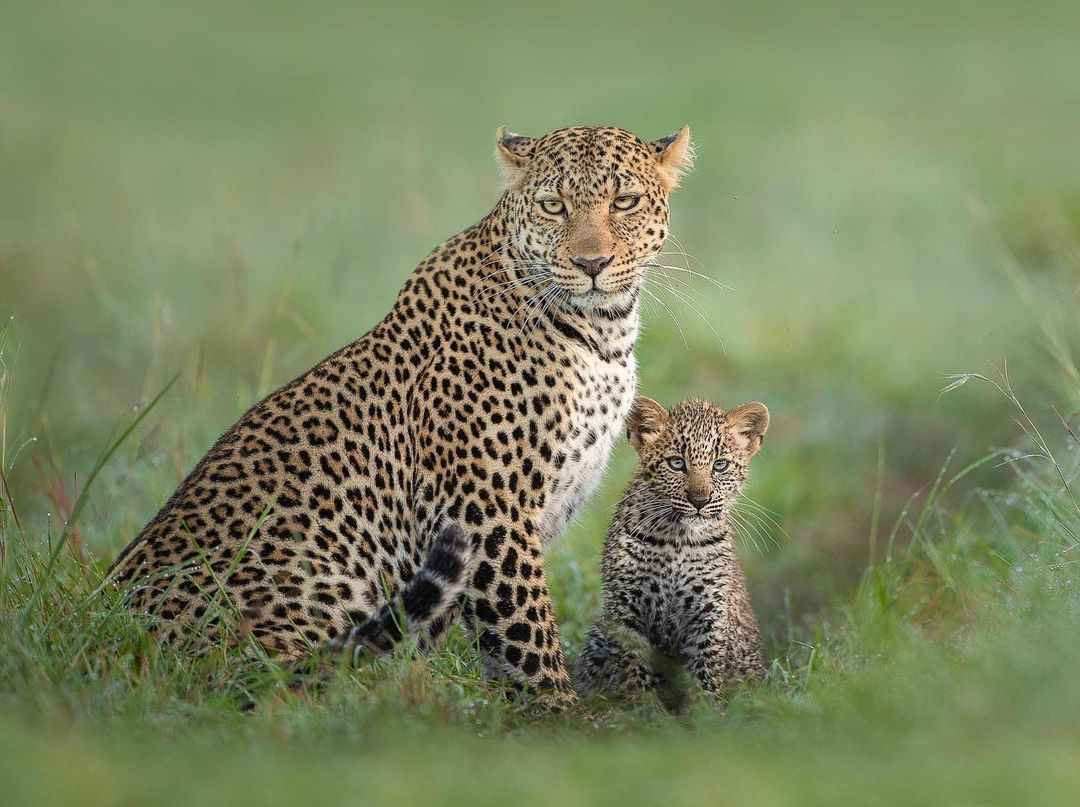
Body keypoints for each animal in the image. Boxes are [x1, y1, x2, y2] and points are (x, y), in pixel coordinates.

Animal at [109, 123, 695, 695]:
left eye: (624, 201)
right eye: (554, 206)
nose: (591, 263)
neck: (603, 333)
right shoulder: (486, 513)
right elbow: (525, 634)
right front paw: (557, 709)